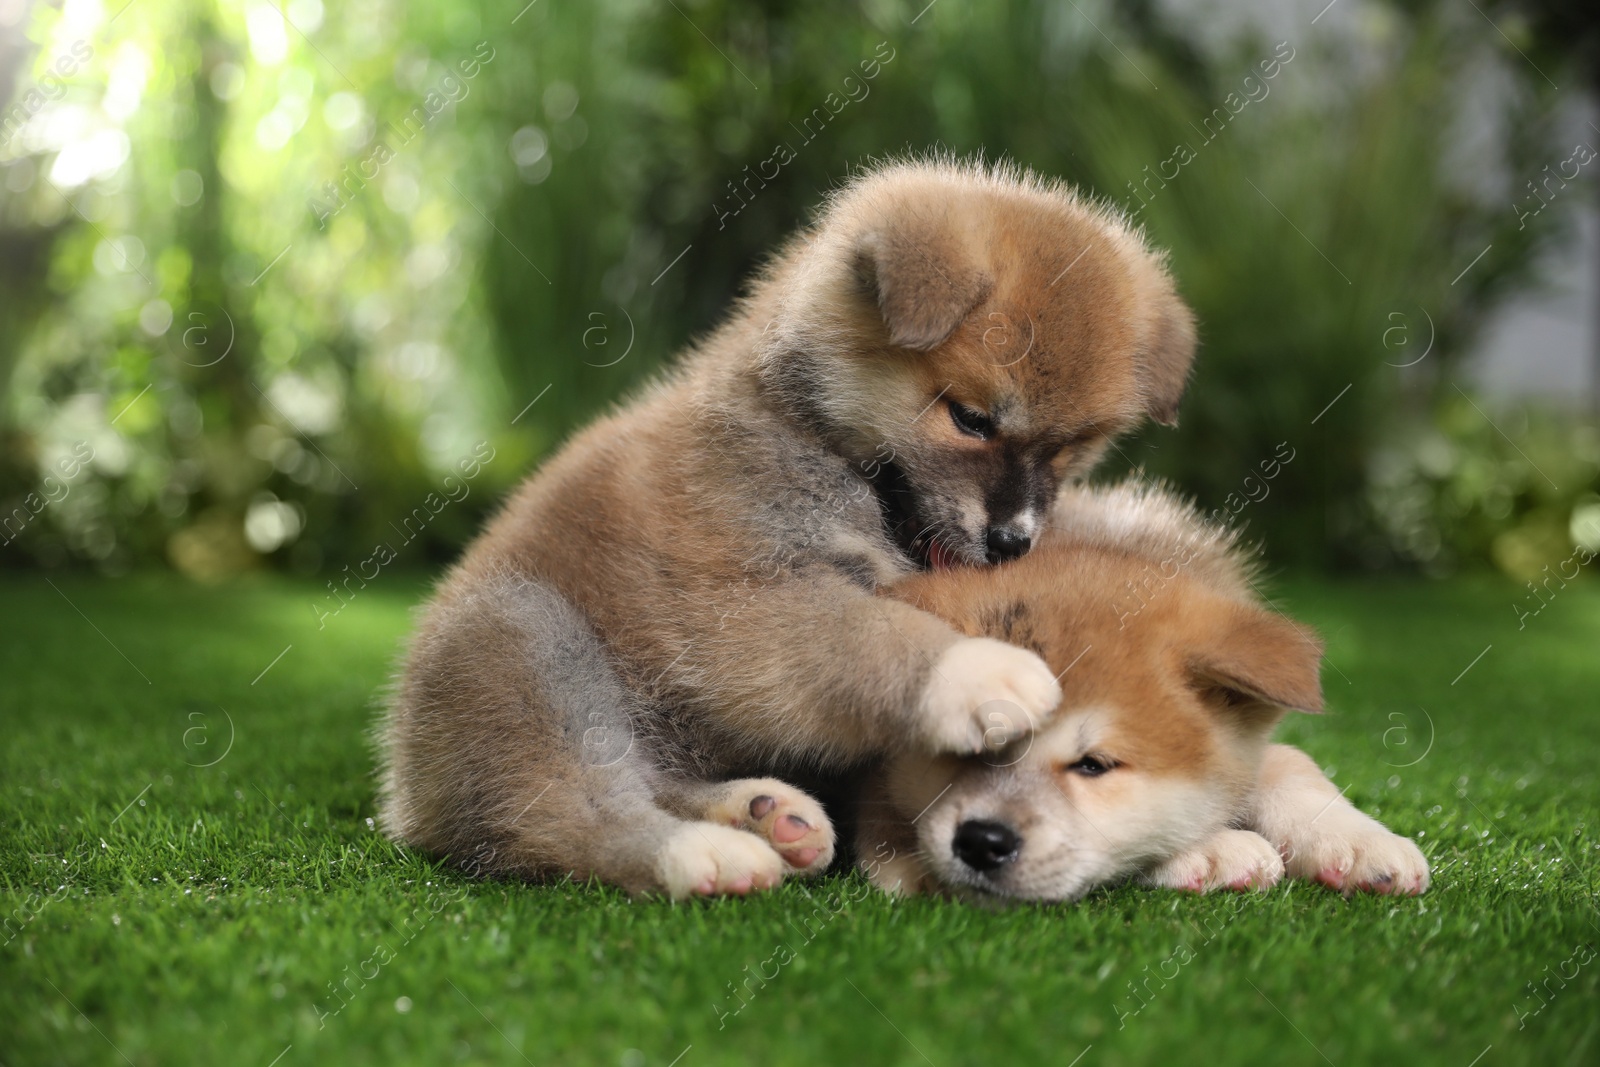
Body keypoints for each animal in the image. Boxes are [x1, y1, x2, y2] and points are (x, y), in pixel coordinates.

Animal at [380, 154, 1196, 895]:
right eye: (970, 419)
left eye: (1071, 450)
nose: (1012, 542)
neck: (809, 437)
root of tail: (402, 795)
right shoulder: (741, 599)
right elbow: (859, 633)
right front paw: (972, 670)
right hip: (522, 640)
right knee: (576, 808)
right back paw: (706, 855)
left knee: (643, 781)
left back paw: (765, 814)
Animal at [857, 483, 1433, 902]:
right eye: (965, 747)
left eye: (1094, 765)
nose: (982, 842)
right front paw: (1213, 848)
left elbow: (1289, 763)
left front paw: (1357, 840)